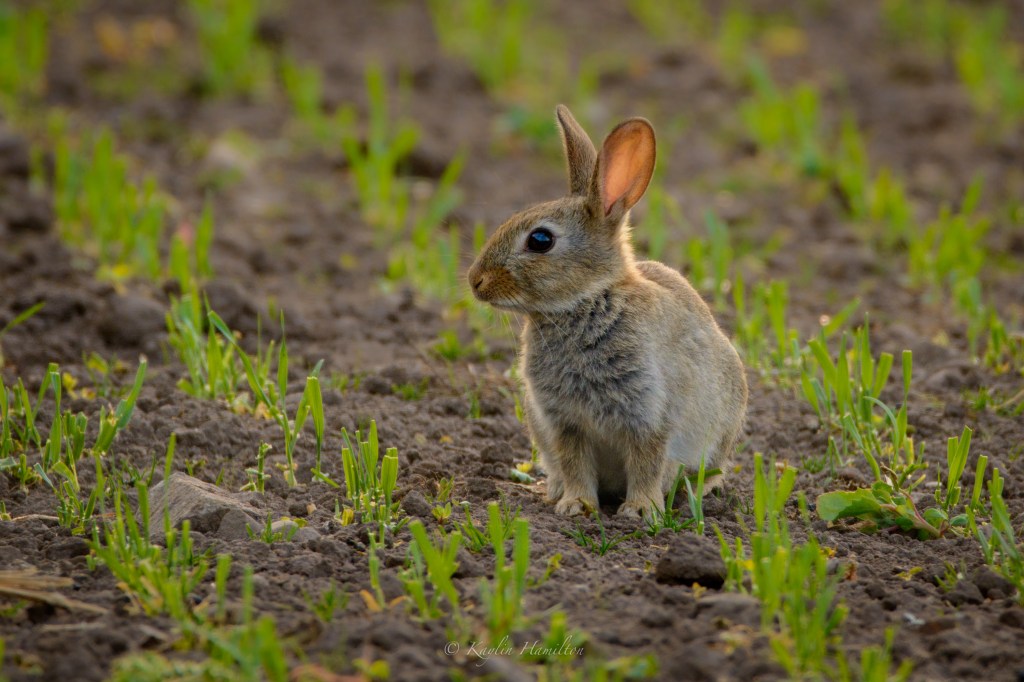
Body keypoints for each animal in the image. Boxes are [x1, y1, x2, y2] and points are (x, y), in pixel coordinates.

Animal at [467, 105, 748, 518]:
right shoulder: (564, 422)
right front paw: (575, 505)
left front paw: (641, 510)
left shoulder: (650, 413)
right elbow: (575, 463)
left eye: (540, 240)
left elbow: (647, 462)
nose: (476, 281)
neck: (588, 300)